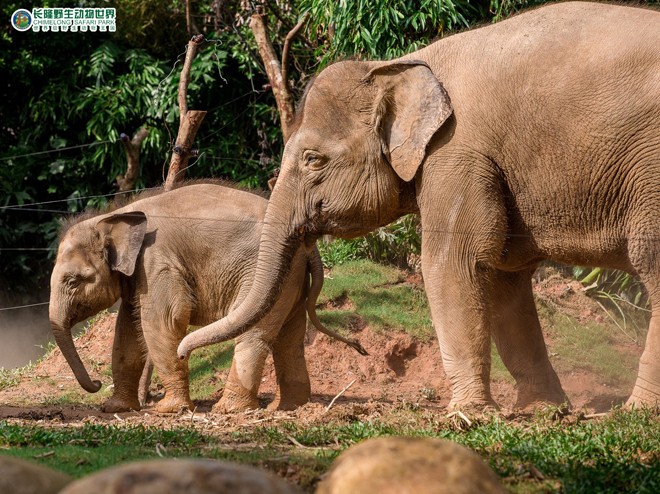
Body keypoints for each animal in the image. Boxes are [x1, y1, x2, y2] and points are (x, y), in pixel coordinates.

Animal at [48, 181, 364, 412]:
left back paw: (229, 410)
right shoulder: (137, 274)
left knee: (254, 335)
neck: (115, 215)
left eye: (73, 281)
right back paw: (286, 407)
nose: (96, 383)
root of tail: (310, 247)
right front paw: (115, 408)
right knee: (290, 338)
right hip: (292, 279)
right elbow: (127, 331)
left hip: (266, 273)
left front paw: (167, 410)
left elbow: (164, 321)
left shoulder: (157, 262)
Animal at [178, 1, 656, 408]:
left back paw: (635, 411)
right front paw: (541, 411)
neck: (401, 63)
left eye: (313, 159)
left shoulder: (457, 152)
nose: (183, 352)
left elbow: (453, 261)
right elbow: (504, 274)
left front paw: (468, 414)